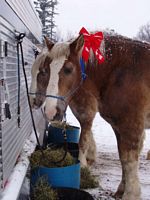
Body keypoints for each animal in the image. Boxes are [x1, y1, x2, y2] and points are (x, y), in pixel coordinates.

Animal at [29, 32, 150, 199]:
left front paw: (131, 194)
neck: (121, 73)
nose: (50, 112)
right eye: (46, 70)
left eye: (68, 69)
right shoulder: (117, 126)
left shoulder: (130, 126)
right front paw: (121, 189)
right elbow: (123, 158)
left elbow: (128, 160)